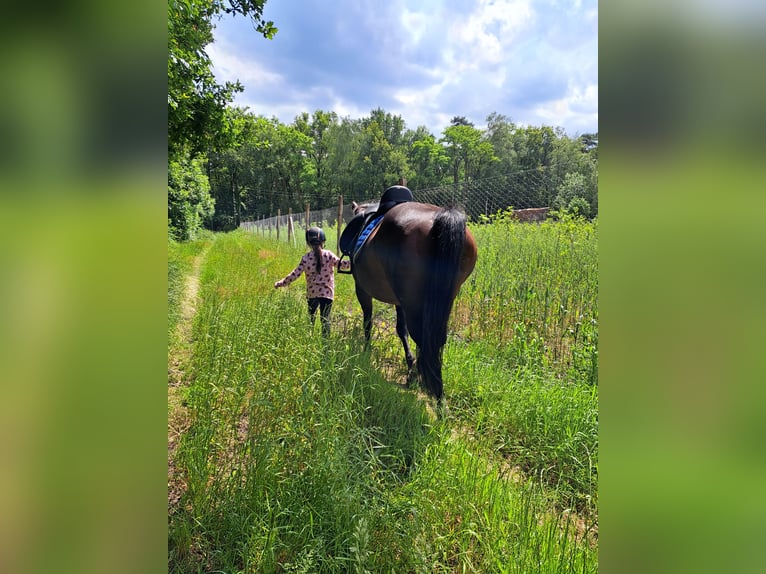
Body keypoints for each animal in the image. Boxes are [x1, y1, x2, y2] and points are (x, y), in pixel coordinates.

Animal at [350, 194, 480, 414]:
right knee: (434, 341)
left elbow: (368, 322)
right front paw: (411, 366)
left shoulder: (362, 289)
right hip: (438, 299)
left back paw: (438, 399)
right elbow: (401, 330)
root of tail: (443, 216)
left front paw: (366, 352)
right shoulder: (400, 301)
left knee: (426, 341)